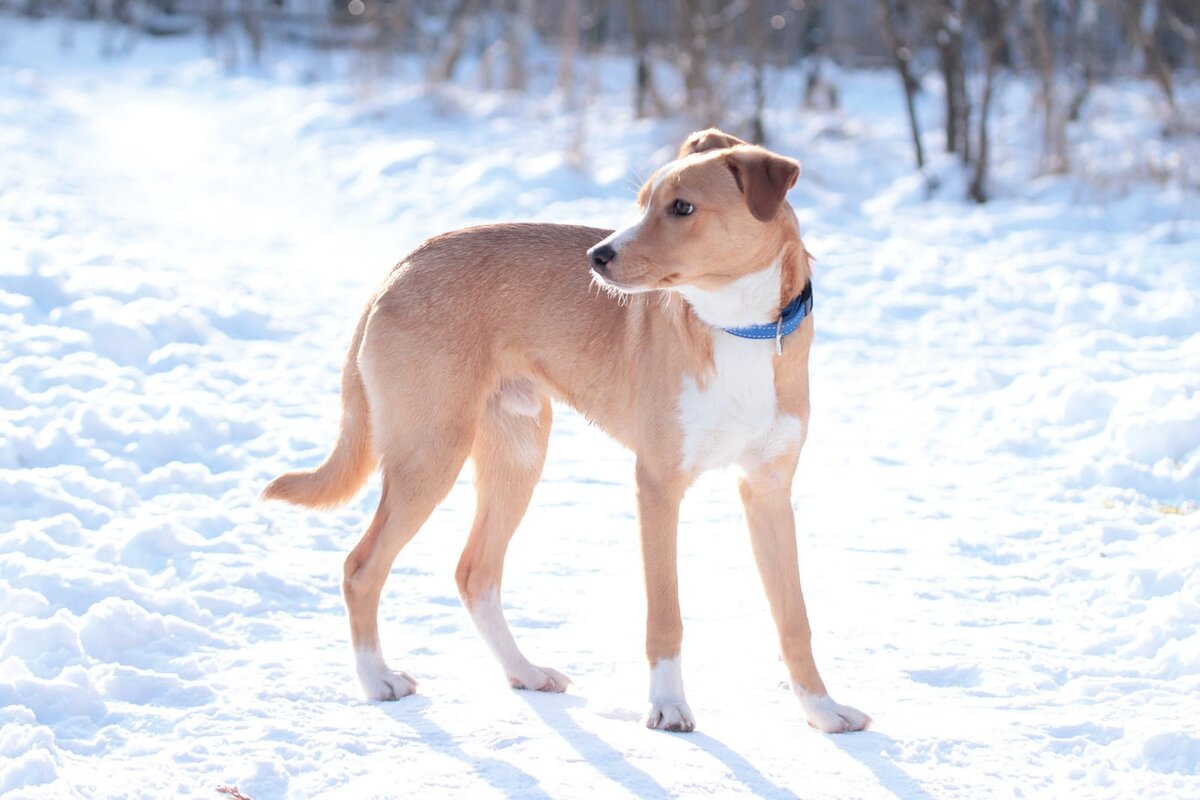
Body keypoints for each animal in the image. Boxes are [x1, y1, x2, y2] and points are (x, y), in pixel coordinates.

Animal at [265, 128, 873, 734]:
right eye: (642, 203)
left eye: (682, 207)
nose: (596, 256)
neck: (741, 328)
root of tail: (403, 265)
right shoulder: (658, 486)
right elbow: (666, 615)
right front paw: (667, 706)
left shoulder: (768, 490)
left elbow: (794, 618)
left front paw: (821, 708)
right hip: (430, 454)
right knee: (361, 568)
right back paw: (377, 680)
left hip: (518, 456)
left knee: (475, 573)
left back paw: (523, 671)